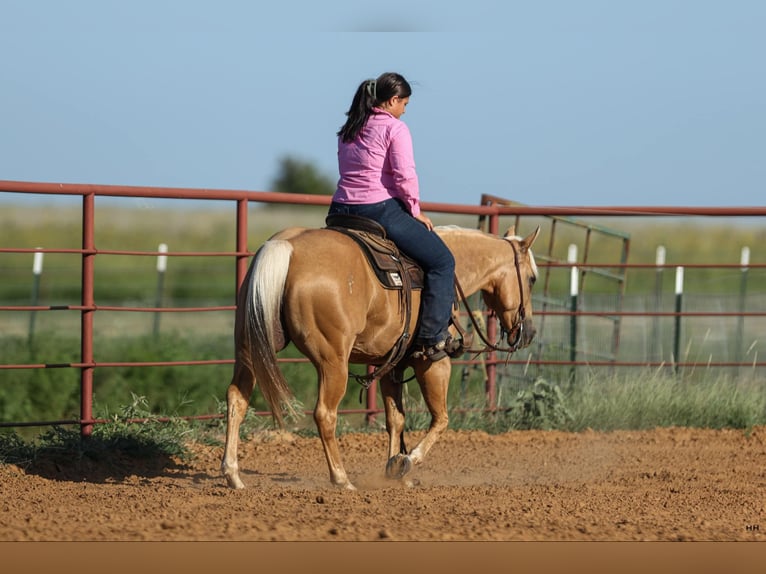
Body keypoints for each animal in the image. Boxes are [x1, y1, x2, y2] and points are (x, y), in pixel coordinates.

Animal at [221, 222, 541, 490]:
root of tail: (286, 247)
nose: (528, 332)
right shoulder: (433, 362)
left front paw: (395, 469)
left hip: (250, 348)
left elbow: (396, 419)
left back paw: (233, 475)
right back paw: (341, 479)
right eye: (532, 279)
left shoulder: (392, 366)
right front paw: (407, 461)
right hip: (332, 362)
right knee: (325, 413)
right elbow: (441, 419)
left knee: (237, 398)